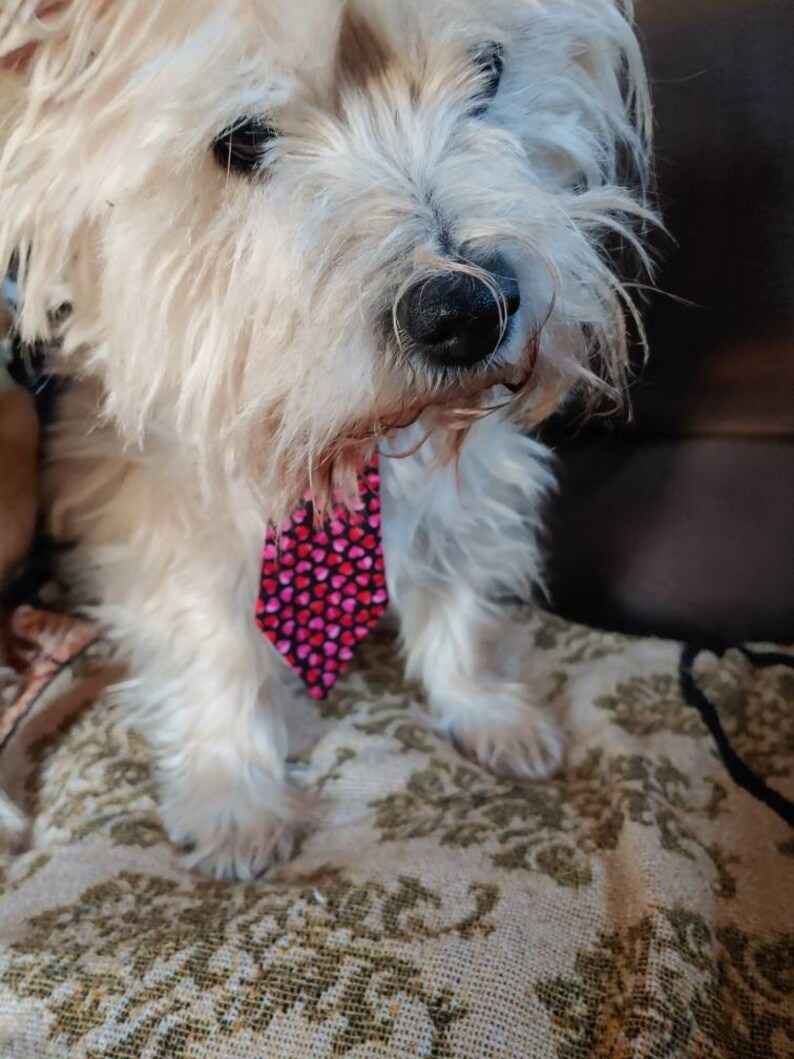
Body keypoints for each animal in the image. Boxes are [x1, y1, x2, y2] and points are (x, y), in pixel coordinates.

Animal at [1, 0, 652, 876]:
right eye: (242, 140)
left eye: (487, 72)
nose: (467, 313)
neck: (351, 447)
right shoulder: (171, 518)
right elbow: (214, 642)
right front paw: (236, 792)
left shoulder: (468, 489)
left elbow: (461, 597)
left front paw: (488, 707)